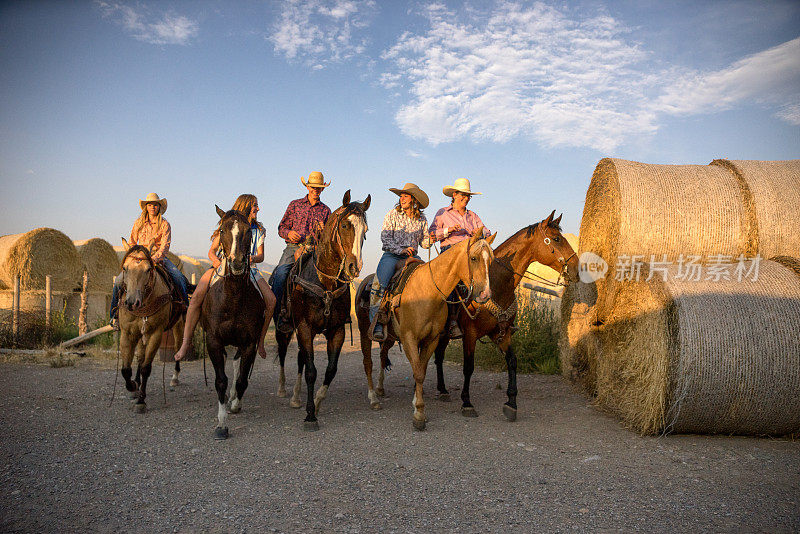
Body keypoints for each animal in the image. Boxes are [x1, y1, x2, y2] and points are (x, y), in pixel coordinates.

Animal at [117, 242, 188, 414]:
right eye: (125, 268)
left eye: (148, 269)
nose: (131, 303)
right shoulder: (127, 333)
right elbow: (126, 369)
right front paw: (133, 387)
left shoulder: (156, 334)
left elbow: (146, 368)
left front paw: (141, 401)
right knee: (140, 357)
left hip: (178, 326)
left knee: (177, 349)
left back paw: (175, 378)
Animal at [203, 205, 266, 440]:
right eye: (222, 231)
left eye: (248, 232)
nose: (236, 262)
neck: (233, 298)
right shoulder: (213, 341)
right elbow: (221, 380)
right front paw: (221, 424)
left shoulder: (249, 343)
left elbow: (241, 379)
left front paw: (235, 404)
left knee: (237, 366)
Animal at [276, 191, 370, 434]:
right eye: (345, 225)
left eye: (365, 230)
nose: (354, 267)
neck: (323, 282)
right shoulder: (304, 328)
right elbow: (311, 371)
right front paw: (310, 416)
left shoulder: (337, 331)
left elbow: (330, 370)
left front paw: (317, 403)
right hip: (285, 329)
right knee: (283, 355)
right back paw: (283, 390)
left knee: (300, 358)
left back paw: (296, 397)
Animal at [354, 233, 494, 432]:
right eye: (473, 258)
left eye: (491, 260)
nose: (485, 294)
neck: (429, 291)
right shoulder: (409, 338)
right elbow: (418, 372)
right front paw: (419, 414)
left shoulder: (431, 339)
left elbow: (421, 369)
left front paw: (416, 404)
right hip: (364, 333)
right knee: (368, 363)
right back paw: (373, 399)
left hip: (389, 338)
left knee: (382, 356)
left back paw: (380, 389)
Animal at [434, 211, 580, 426]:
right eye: (556, 239)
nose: (577, 268)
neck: (495, 285)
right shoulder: (470, 334)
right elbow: (468, 367)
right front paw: (467, 403)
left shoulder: (501, 333)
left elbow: (512, 361)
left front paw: (511, 403)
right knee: (437, 356)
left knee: (438, 356)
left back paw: (443, 390)